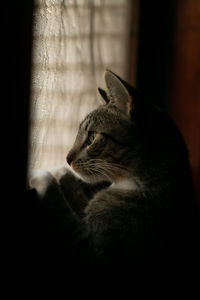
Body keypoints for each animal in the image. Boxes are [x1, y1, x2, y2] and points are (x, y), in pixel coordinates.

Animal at [29, 69, 198, 274]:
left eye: (92, 137)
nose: (67, 159)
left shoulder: (95, 255)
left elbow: (64, 213)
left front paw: (43, 176)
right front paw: (62, 172)